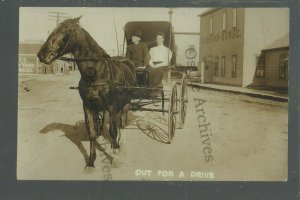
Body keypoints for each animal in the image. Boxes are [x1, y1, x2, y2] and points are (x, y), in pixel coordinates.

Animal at [37, 16, 135, 168]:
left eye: (66, 30)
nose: (41, 54)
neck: (95, 73)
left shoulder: (112, 106)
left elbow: (113, 131)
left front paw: (114, 157)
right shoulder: (88, 106)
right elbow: (92, 133)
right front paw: (91, 162)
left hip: (126, 101)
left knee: (121, 122)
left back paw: (118, 145)